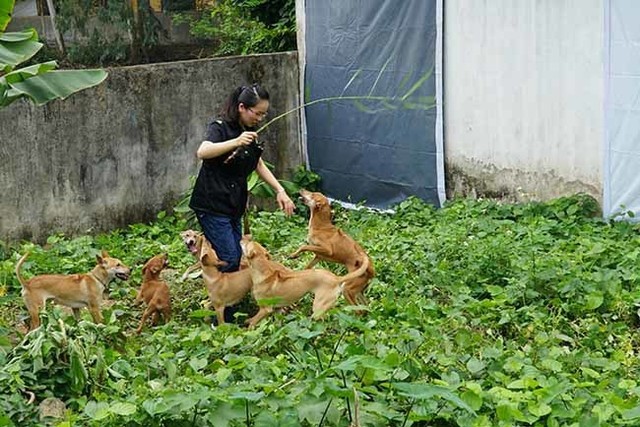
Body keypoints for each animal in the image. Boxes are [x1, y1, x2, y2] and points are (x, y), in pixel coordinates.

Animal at [240, 239, 370, 330]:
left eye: (247, 244)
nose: (241, 239)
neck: (263, 269)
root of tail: (336, 278)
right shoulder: (278, 310)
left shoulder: (265, 310)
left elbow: (252, 323)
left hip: (318, 308)